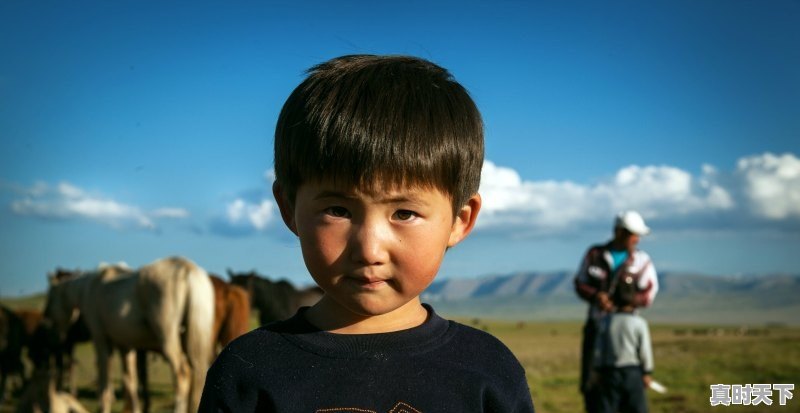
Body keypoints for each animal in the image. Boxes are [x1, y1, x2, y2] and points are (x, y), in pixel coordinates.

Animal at [45, 256, 214, 412]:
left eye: (51, 296)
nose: (46, 316)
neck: (89, 288)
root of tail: (187, 269)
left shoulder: (101, 341)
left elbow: (105, 380)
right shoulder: (125, 347)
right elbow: (129, 380)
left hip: (168, 340)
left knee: (182, 376)